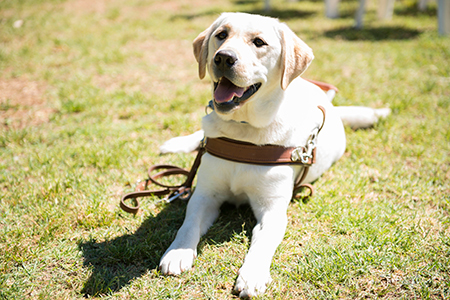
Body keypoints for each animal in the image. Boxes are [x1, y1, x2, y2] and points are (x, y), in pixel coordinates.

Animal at [159, 12, 390, 298]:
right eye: (221, 35)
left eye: (259, 42)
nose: (223, 58)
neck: (243, 130)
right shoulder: (205, 195)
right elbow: (189, 223)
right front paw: (177, 252)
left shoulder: (272, 208)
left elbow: (263, 241)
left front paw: (253, 274)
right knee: (202, 133)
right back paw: (177, 142)